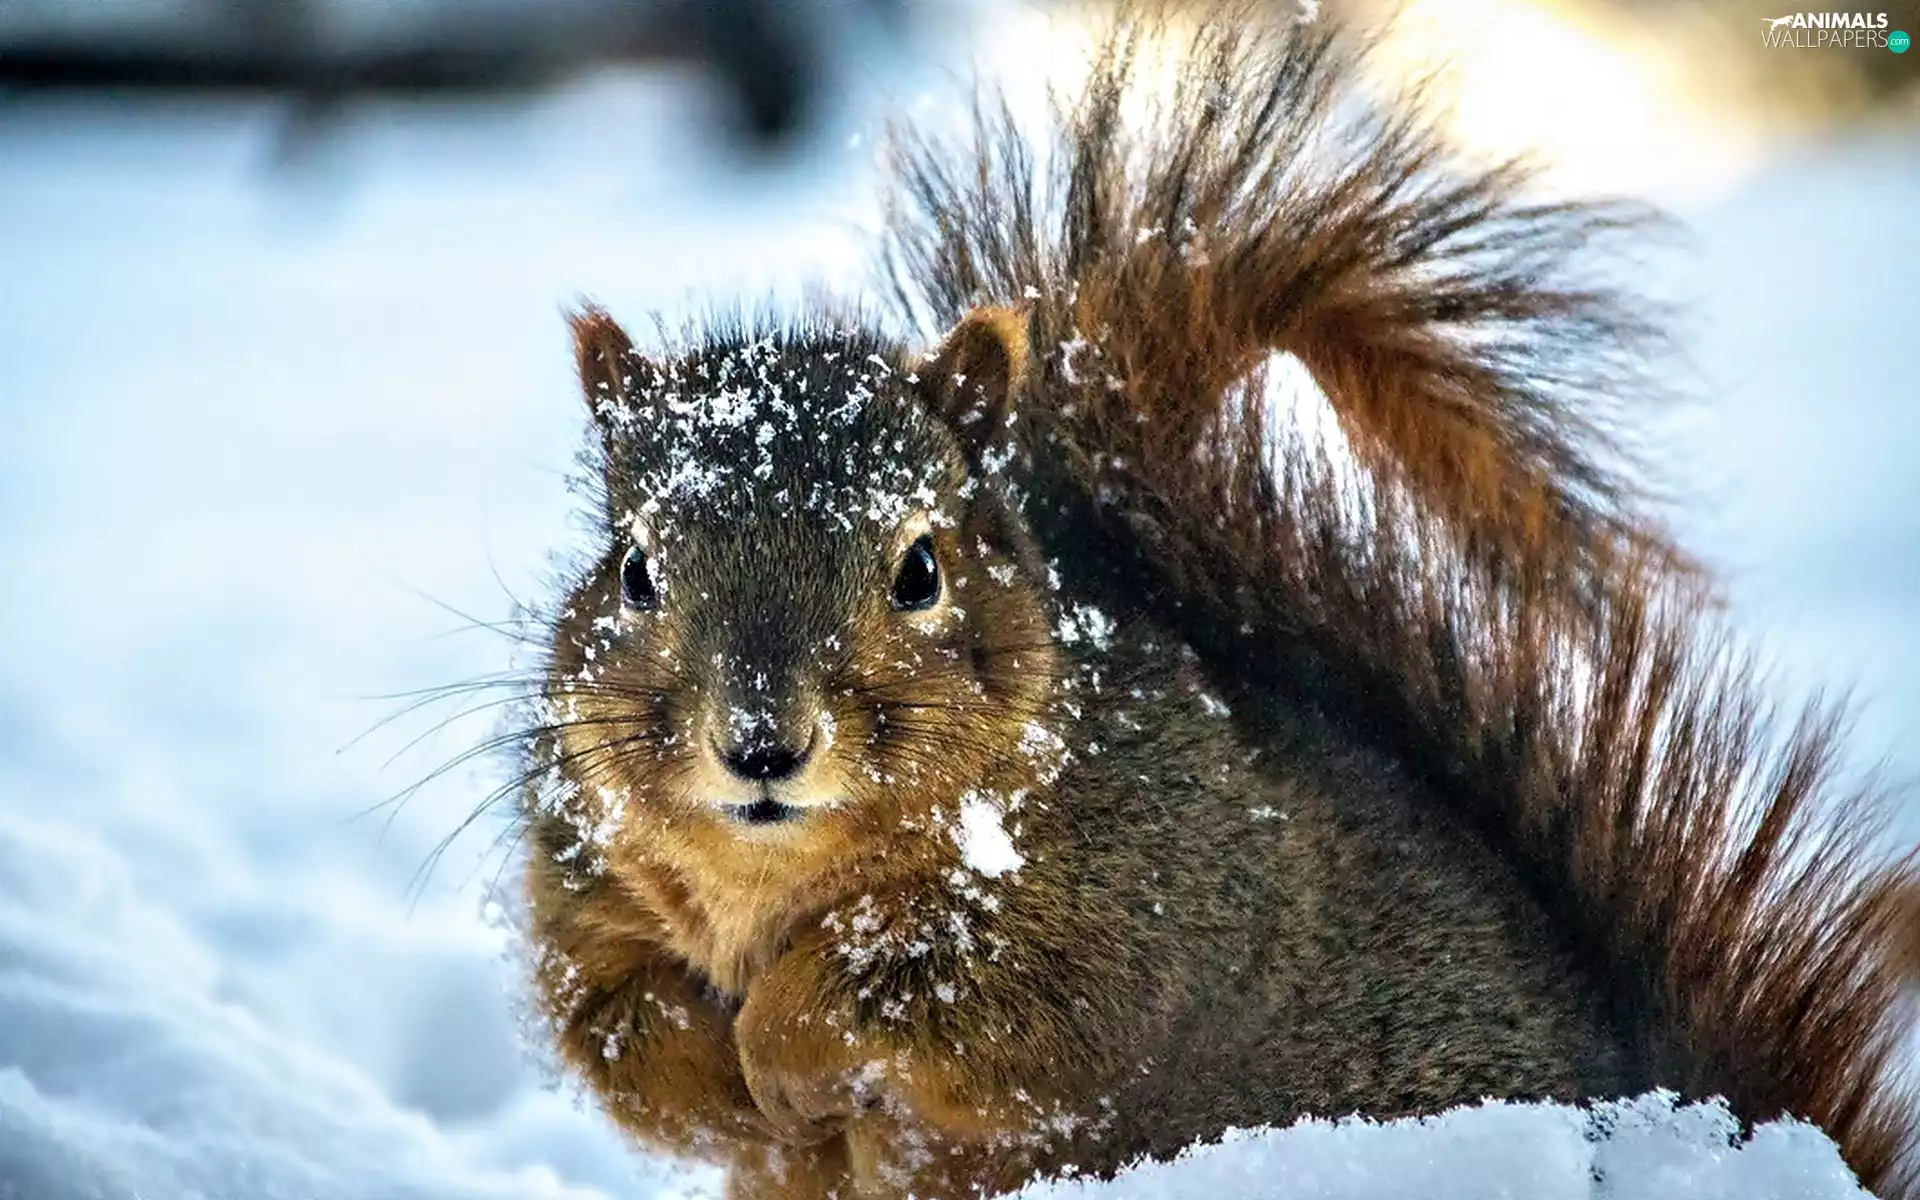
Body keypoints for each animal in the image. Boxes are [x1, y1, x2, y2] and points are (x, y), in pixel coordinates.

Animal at [498, 5, 1920, 1198]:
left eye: (920, 570)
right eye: (634, 567)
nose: (759, 744)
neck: (771, 881)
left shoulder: (1142, 903)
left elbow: (968, 1003)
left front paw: (782, 1053)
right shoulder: (585, 893)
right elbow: (613, 1028)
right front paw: (723, 1090)